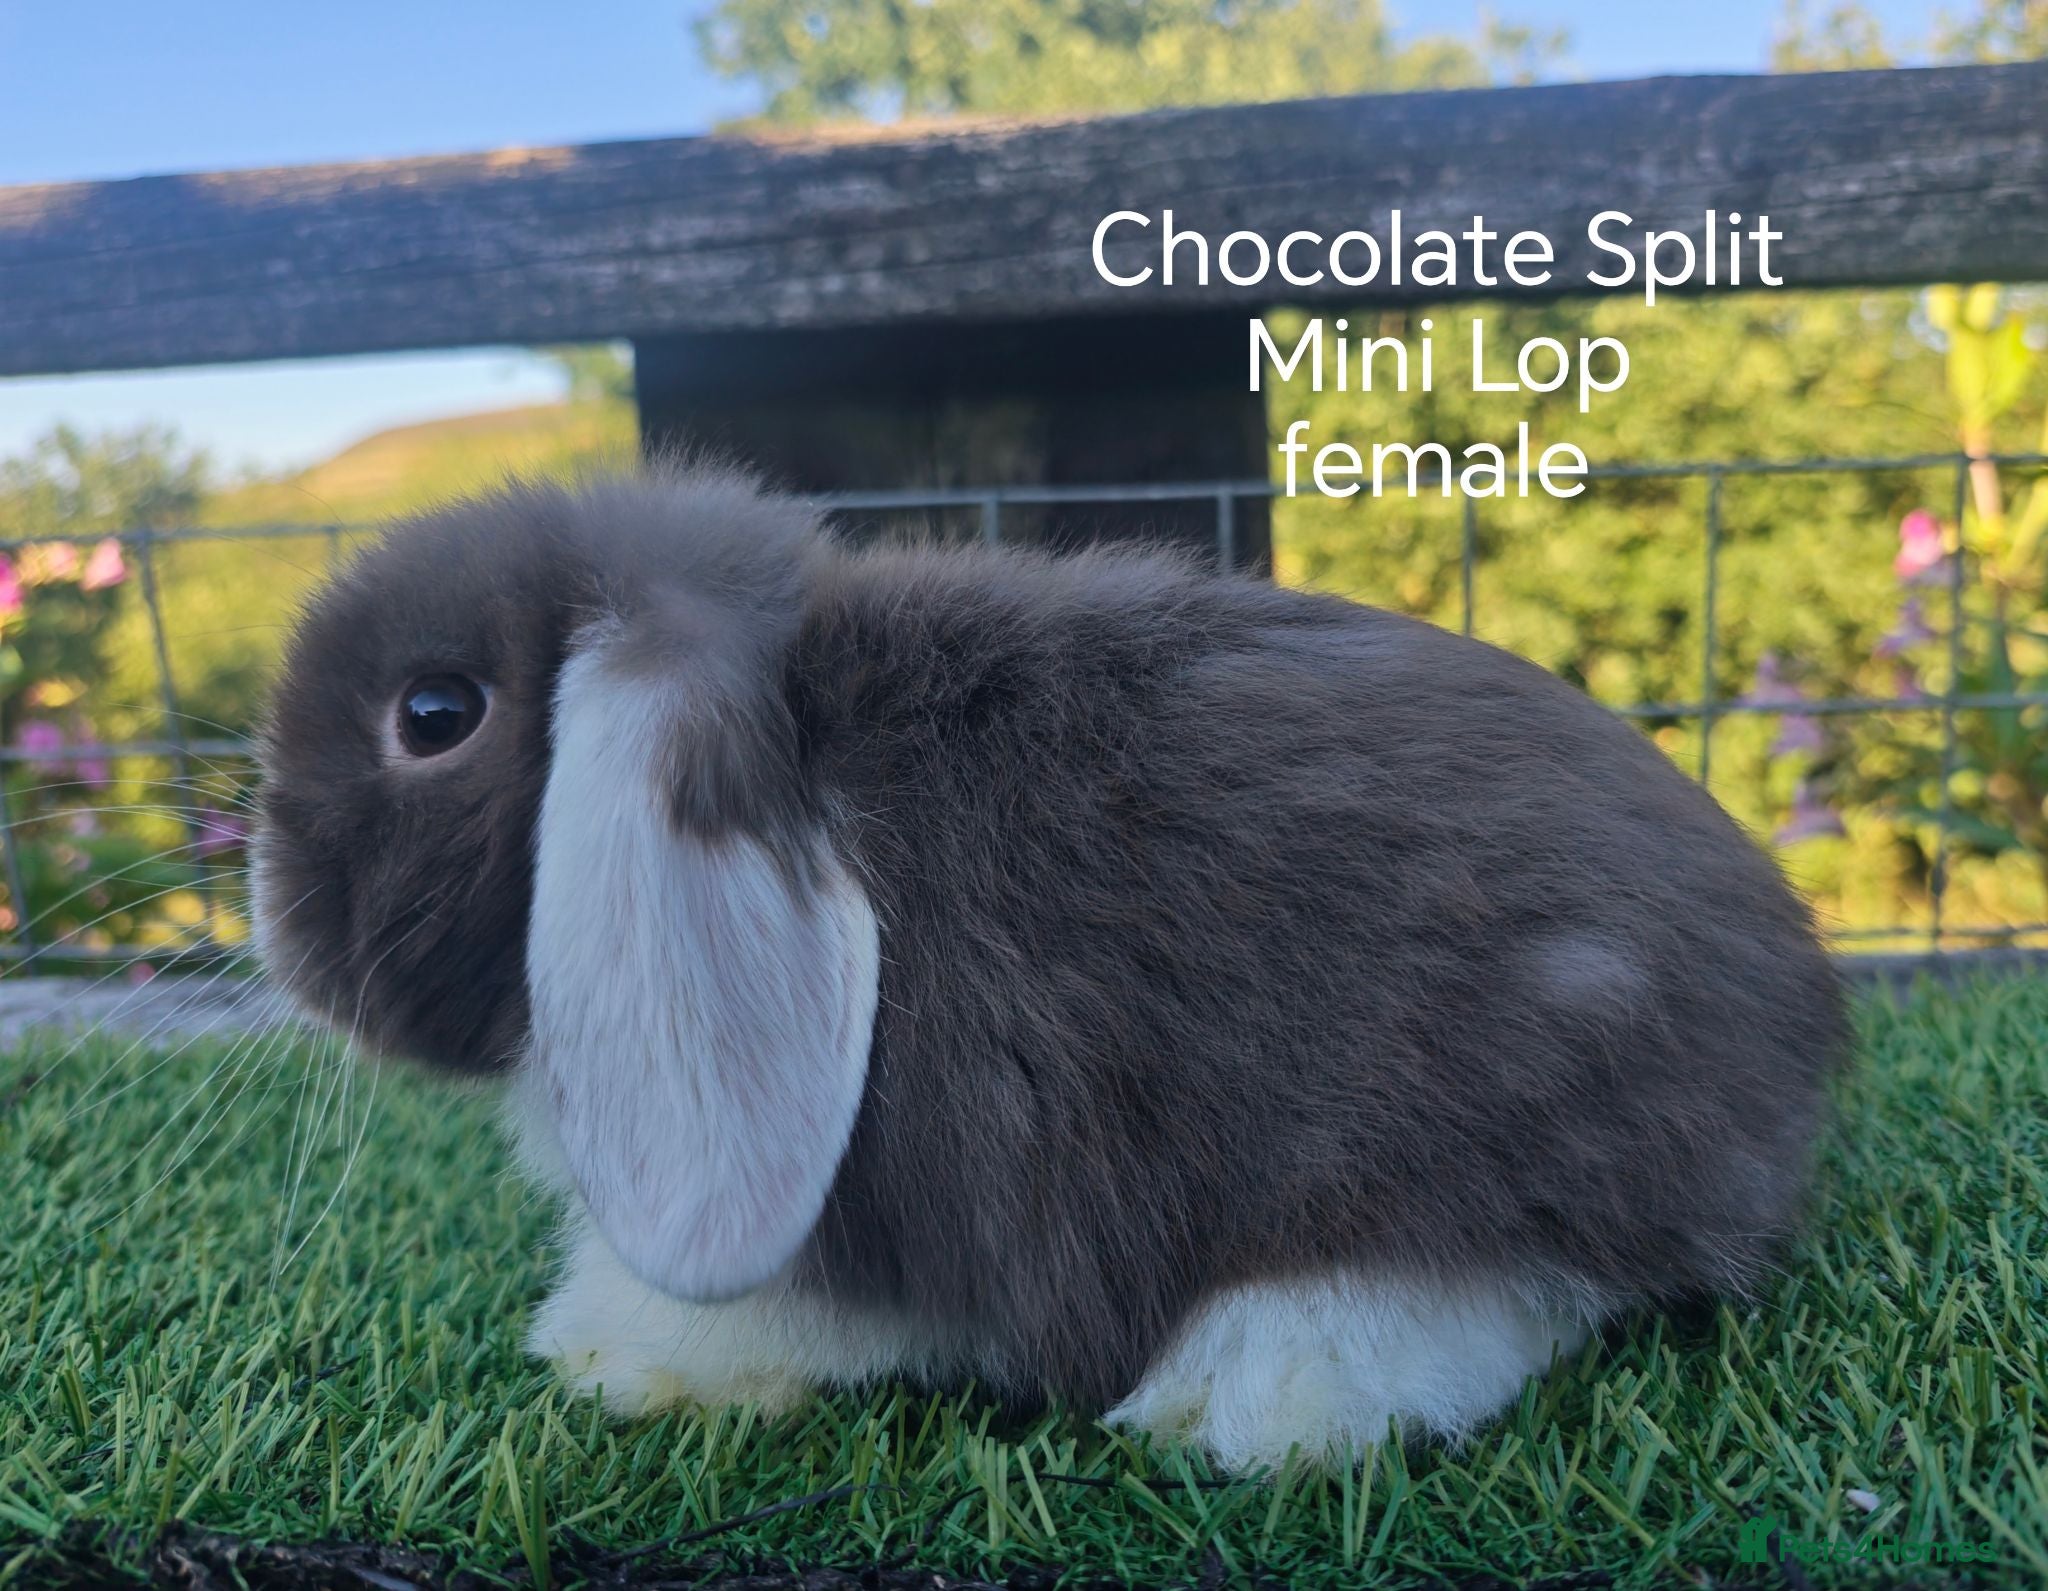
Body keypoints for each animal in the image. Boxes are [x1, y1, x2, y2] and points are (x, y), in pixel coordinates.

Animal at [252, 465, 1846, 1471]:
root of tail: (1787, 1033)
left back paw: (1249, 1390)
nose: (270, 918)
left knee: (1502, 1276)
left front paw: (615, 1356)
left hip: (1470, 1100)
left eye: (435, 712)